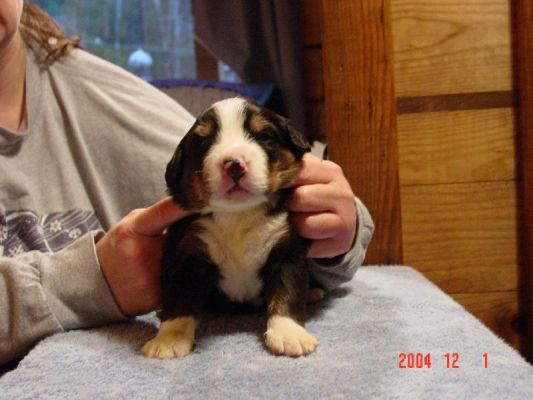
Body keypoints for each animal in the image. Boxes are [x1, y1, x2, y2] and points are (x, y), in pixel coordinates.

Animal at [140, 97, 320, 360]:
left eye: (264, 136)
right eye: (204, 142)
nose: (234, 165)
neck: (237, 214)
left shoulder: (287, 250)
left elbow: (287, 292)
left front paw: (289, 335)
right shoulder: (185, 250)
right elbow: (179, 297)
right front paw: (168, 339)